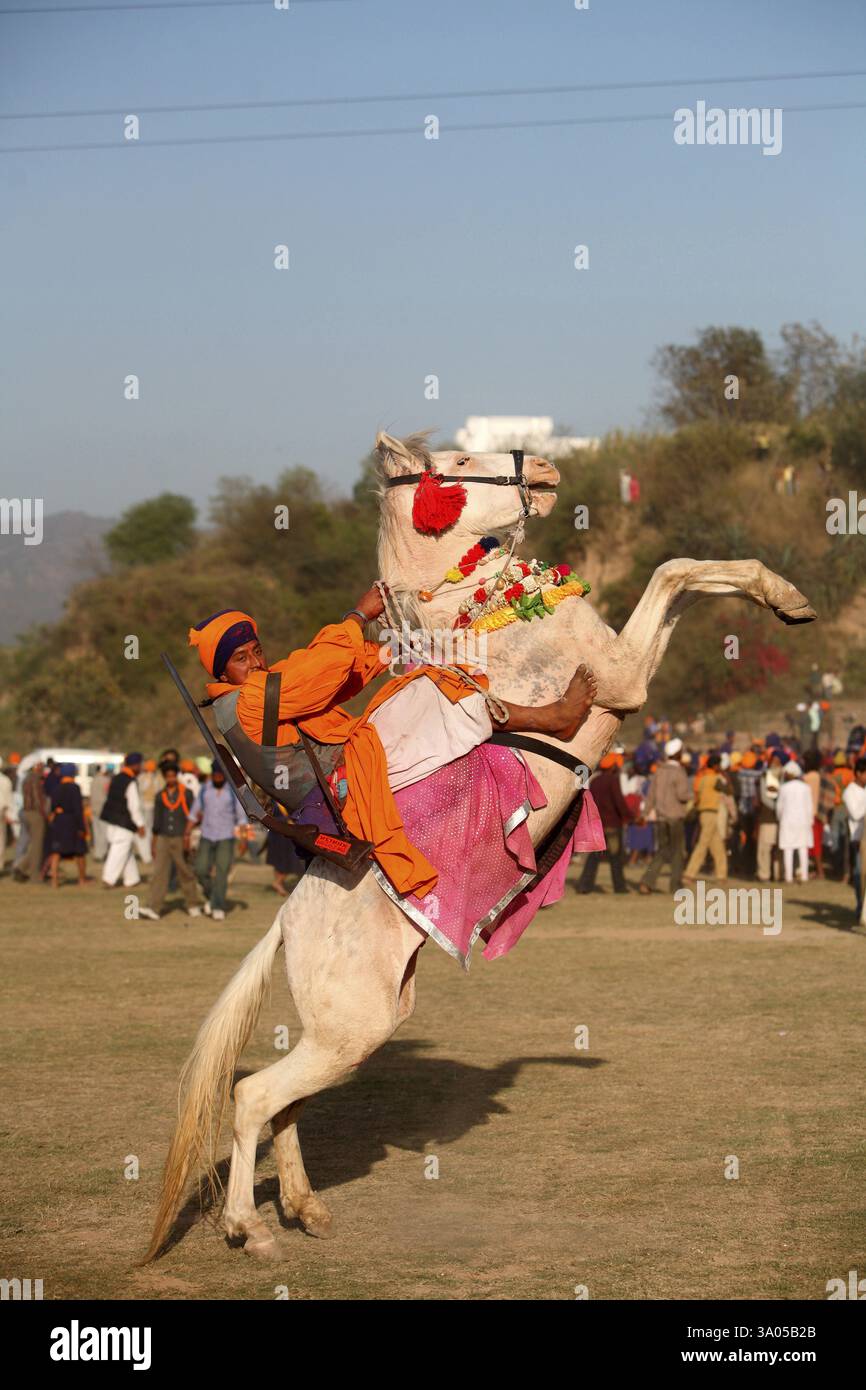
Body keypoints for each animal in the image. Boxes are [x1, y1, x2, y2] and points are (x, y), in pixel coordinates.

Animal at [143, 430, 816, 1262]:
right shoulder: (623, 678)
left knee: (283, 1104)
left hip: (351, 1030)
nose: (545, 468)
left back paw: (305, 1208)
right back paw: (250, 1227)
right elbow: (673, 573)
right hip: (353, 1027)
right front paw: (787, 595)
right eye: (458, 462)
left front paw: (782, 594)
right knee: (251, 1094)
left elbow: (685, 571)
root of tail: (285, 925)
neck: (478, 611)